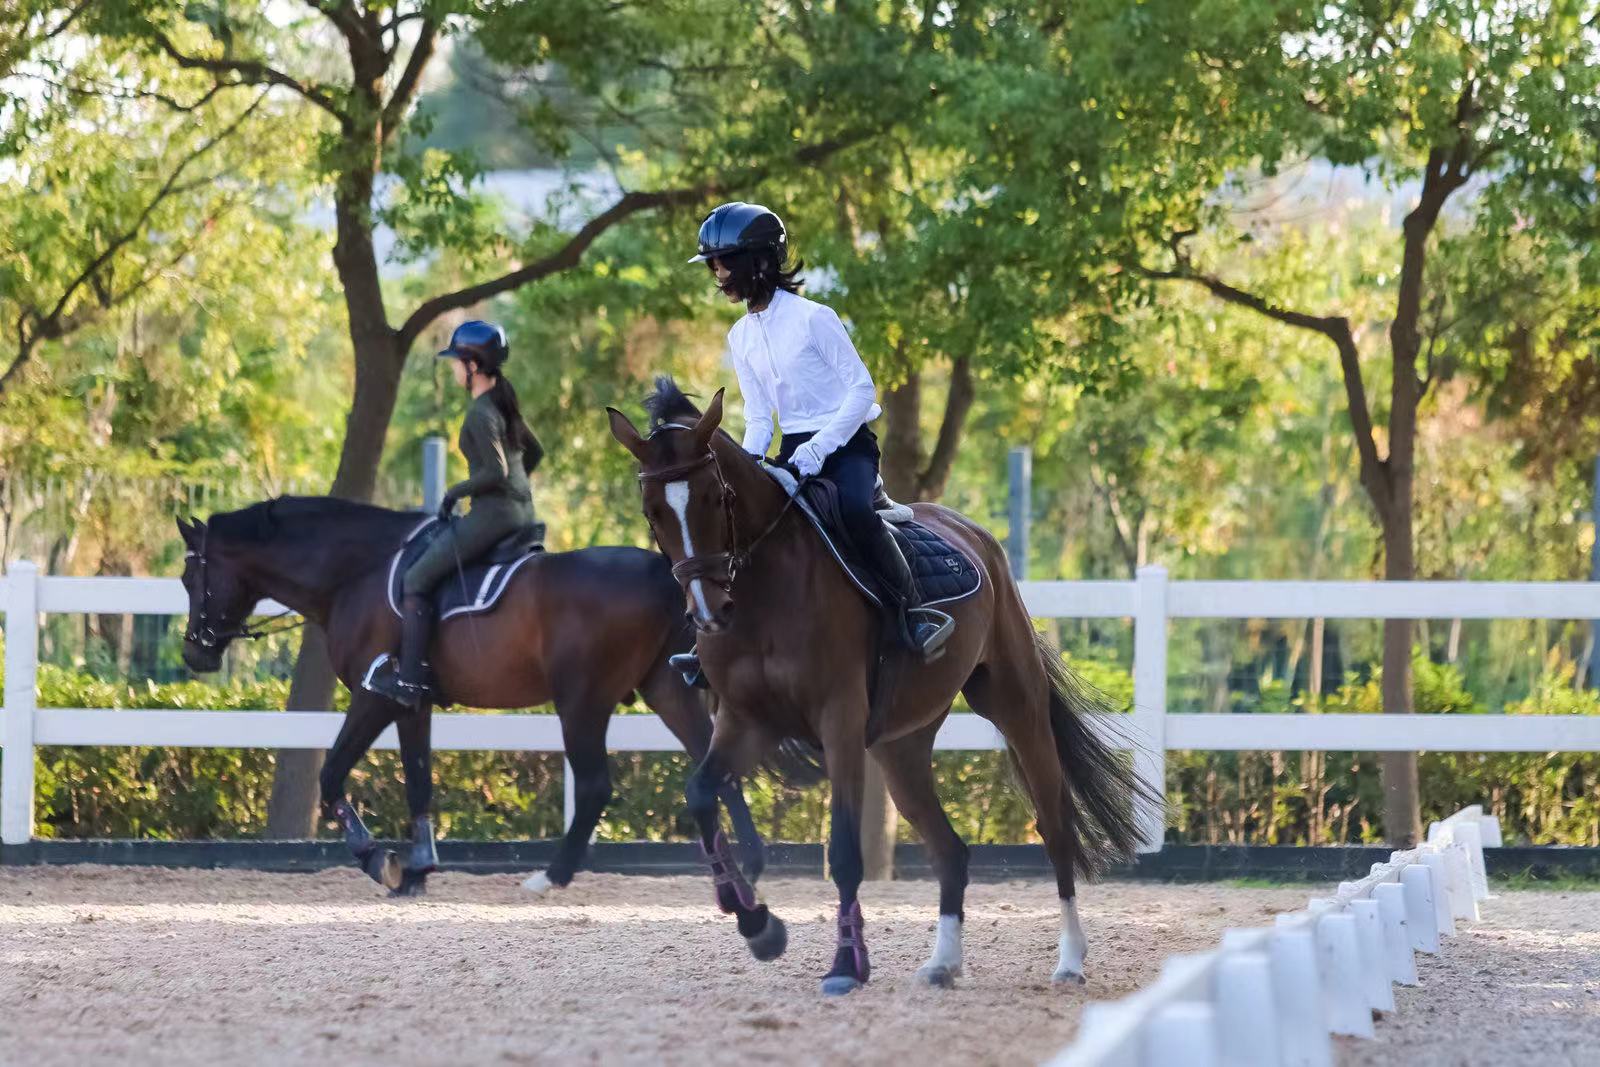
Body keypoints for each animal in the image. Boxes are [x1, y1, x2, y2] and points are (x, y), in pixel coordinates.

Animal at [178, 499, 764, 895]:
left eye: (189, 576)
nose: (193, 653)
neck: (356, 572)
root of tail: (661, 573)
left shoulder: (375, 696)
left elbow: (332, 775)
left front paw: (376, 859)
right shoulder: (412, 703)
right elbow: (418, 779)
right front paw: (416, 868)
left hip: (583, 701)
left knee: (596, 785)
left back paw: (550, 877)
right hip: (663, 689)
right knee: (715, 765)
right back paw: (750, 864)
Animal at [604, 379, 1158, 998]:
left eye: (714, 498)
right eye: (653, 512)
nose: (708, 612)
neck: (765, 587)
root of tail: (976, 537)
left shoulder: (839, 721)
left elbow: (846, 852)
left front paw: (846, 965)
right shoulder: (746, 721)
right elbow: (701, 794)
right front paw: (757, 924)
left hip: (1016, 705)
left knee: (1055, 827)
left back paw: (1070, 961)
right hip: (901, 746)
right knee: (950, 850)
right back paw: (944, 963)